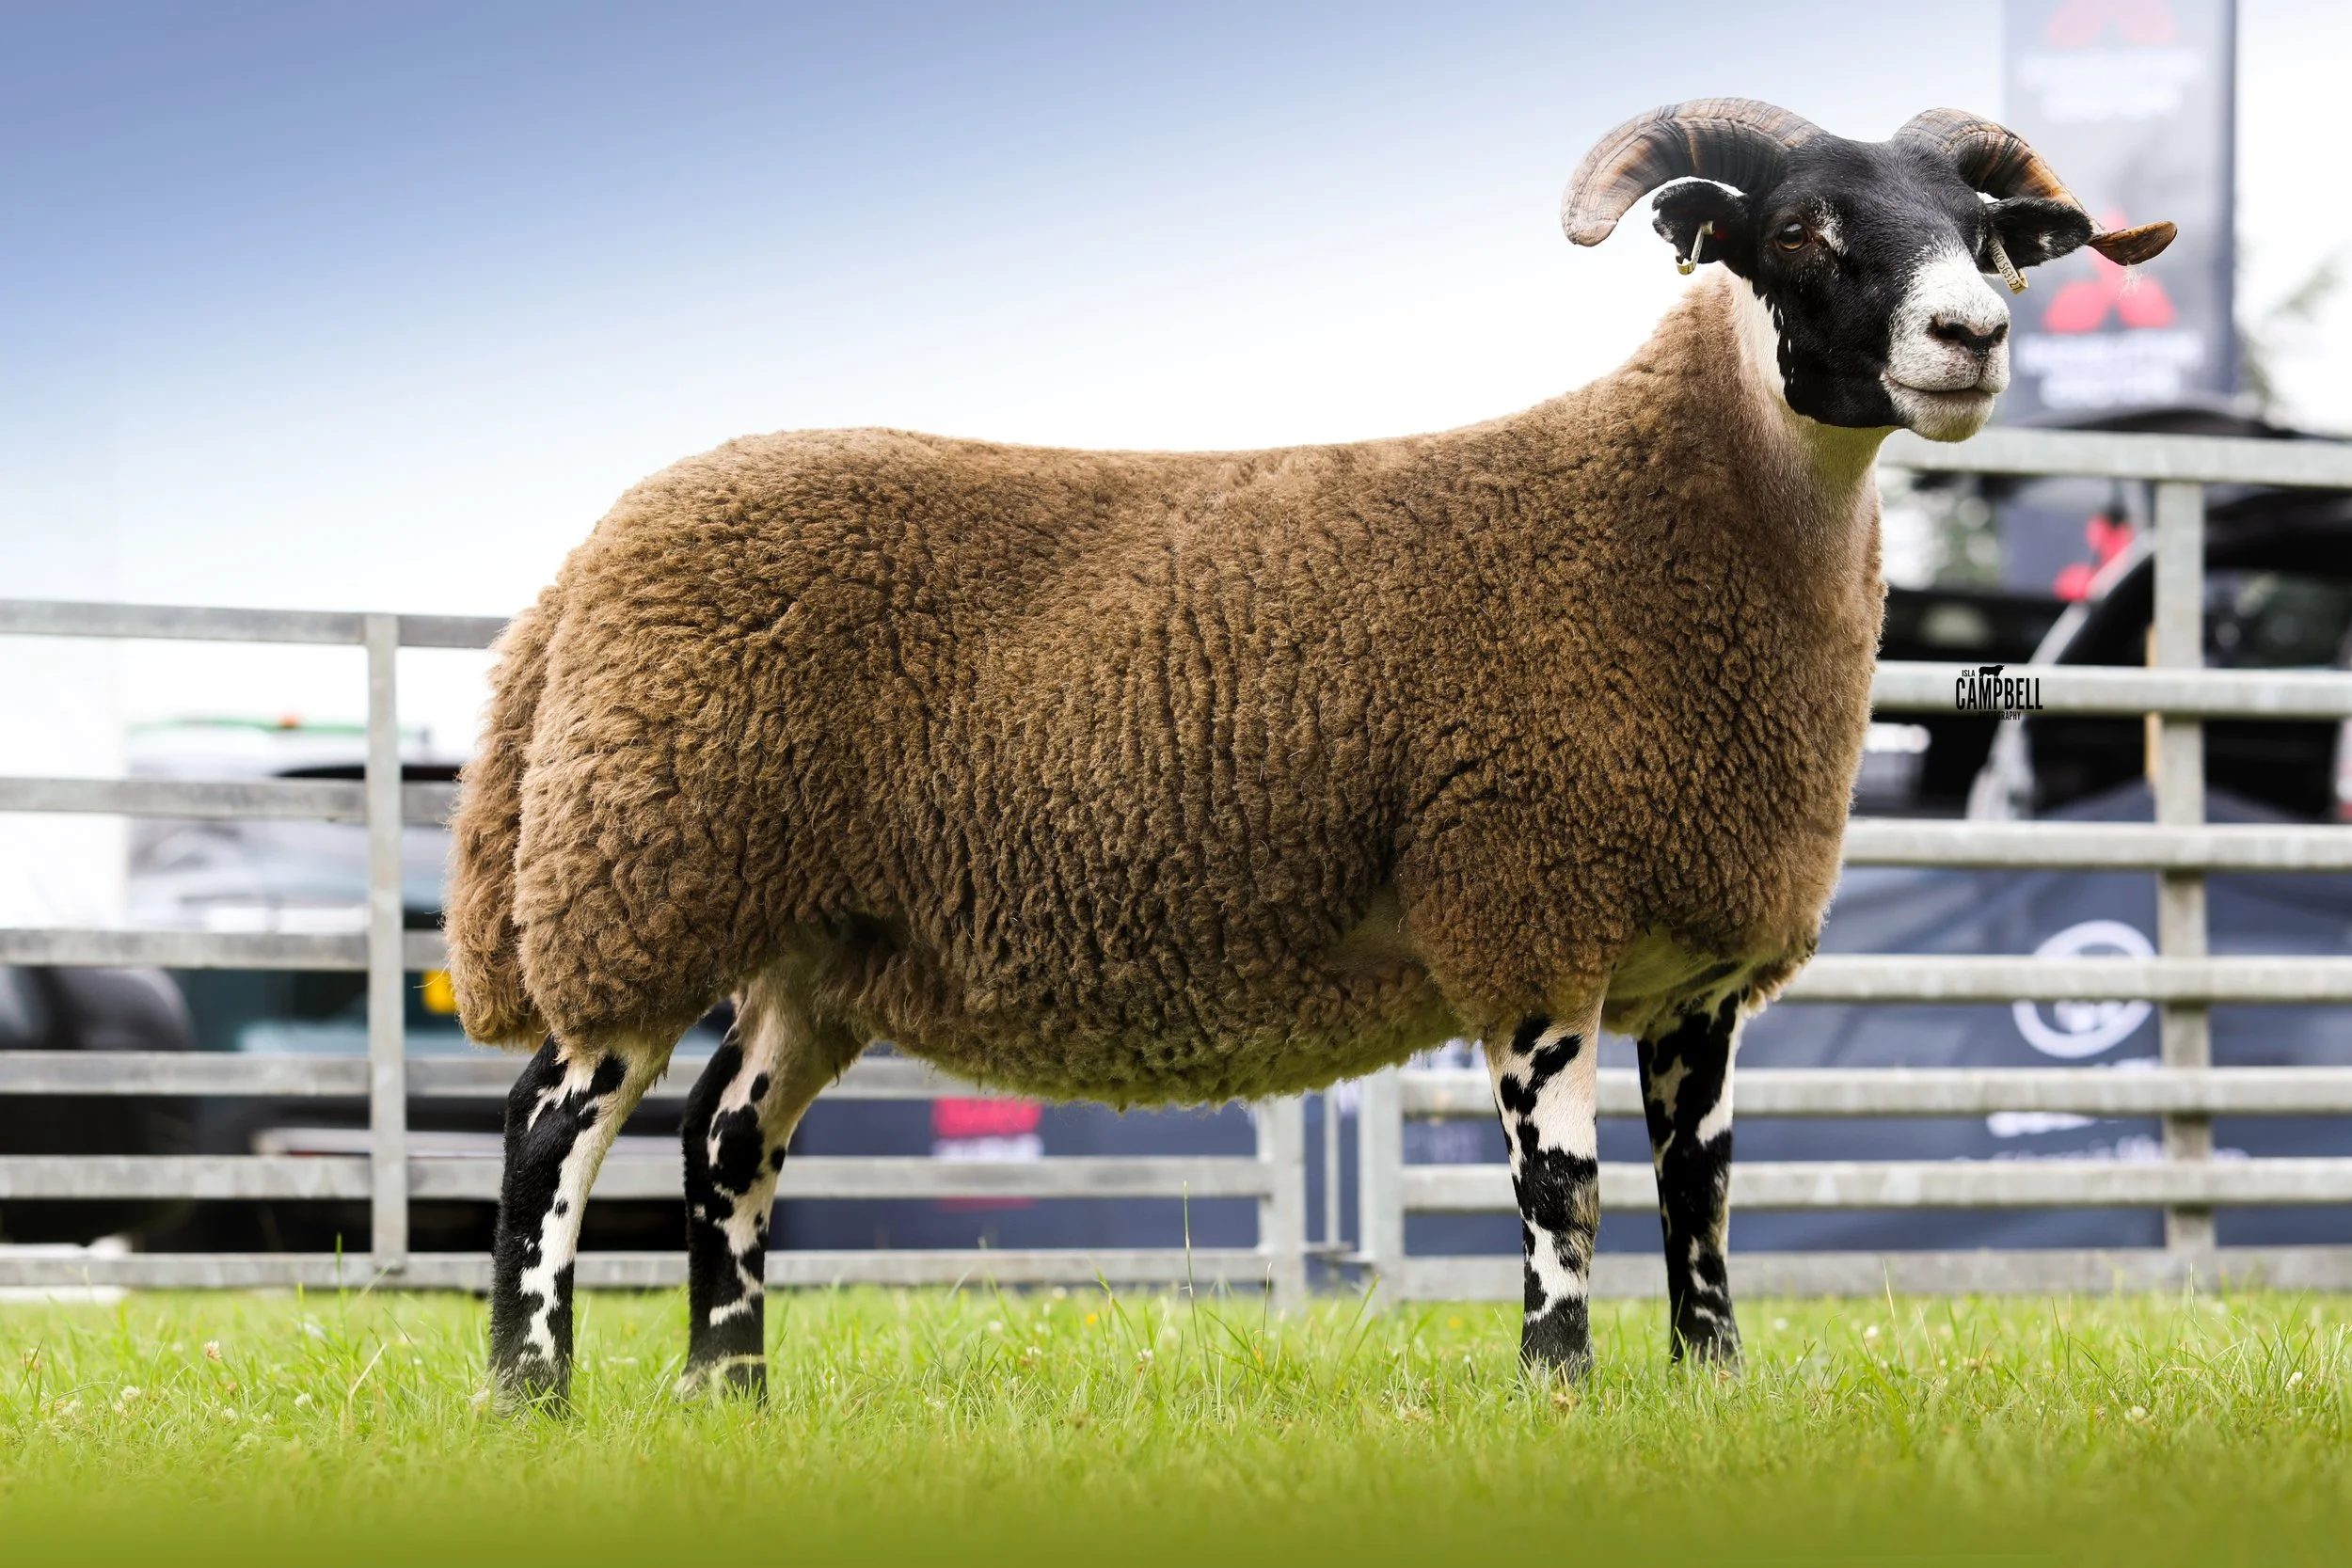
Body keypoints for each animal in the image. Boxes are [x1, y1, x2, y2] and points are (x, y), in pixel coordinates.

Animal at [447, 98, 2172, 1406]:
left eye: (1985, 231)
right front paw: (1561, 1390)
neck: (1663, 517)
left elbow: (1705, 1193)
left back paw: (728, 1391)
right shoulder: (1524, 892)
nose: (1974, 334)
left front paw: (1711, 1386)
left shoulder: (1697, 968)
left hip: (818, 936)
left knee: (726, 1138)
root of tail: (580, 571)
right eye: (1806, 229)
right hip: (644, 867)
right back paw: (535, 1391)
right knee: (545, 1131)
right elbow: (1567, 1189)